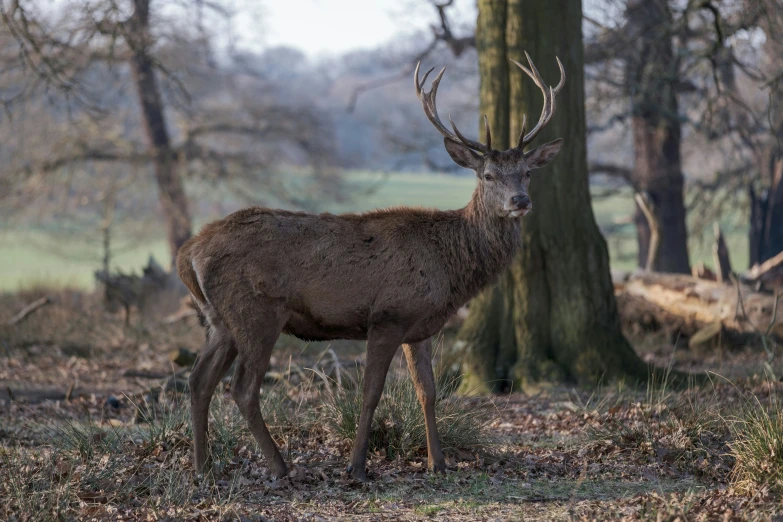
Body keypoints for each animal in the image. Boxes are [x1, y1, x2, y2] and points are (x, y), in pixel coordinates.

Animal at [179, 52, 564, 480]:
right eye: (488, 175)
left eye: (527, 172)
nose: (520, 201)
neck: (450, 269)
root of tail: (188, 252)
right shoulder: (387, 316)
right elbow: (370, 392)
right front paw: (357, 466)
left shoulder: (419, 326)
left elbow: (427, 392)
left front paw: (438, 463)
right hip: (256, 312)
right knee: (242, 388)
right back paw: (279, 466)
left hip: (219, 320)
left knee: (198, 381)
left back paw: (203, 466)